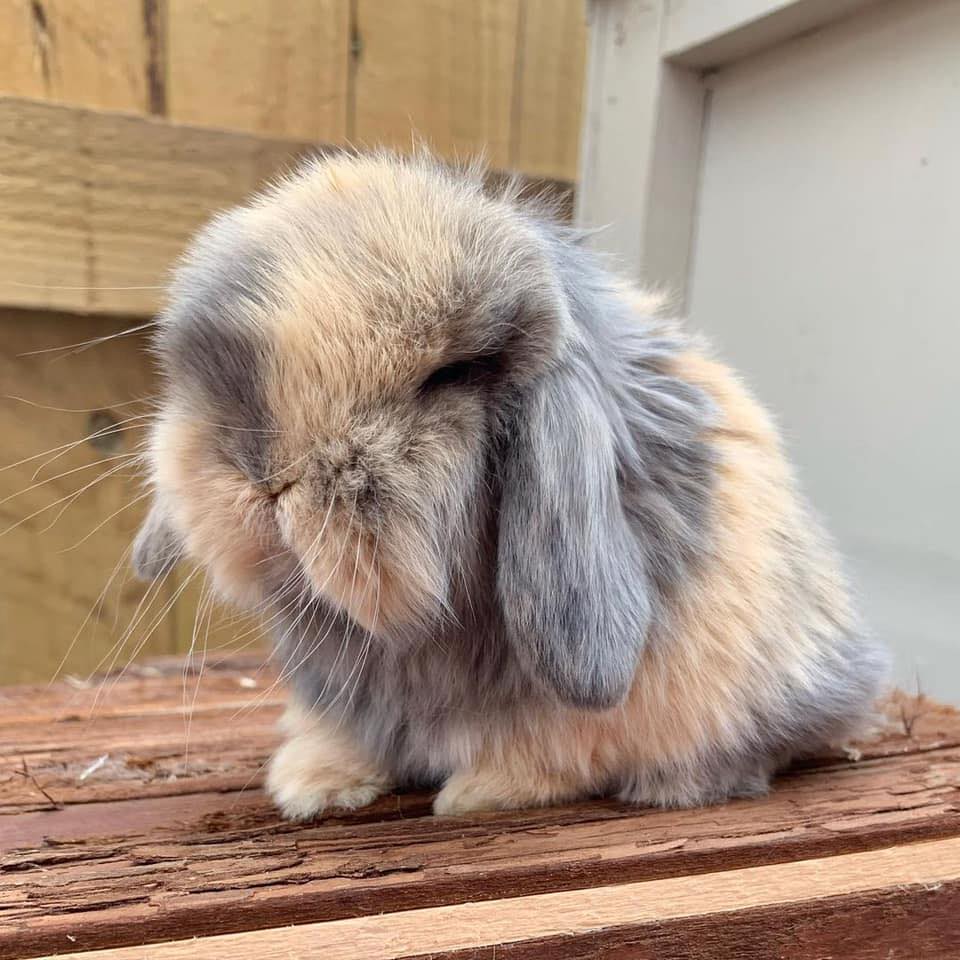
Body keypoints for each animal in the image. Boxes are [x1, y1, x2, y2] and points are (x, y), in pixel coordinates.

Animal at [132, 150, 889, 819]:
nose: (262, 474)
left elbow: (553, 749)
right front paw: (311, 785)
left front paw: (477, 793)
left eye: (447, 376)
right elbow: (342, 736)